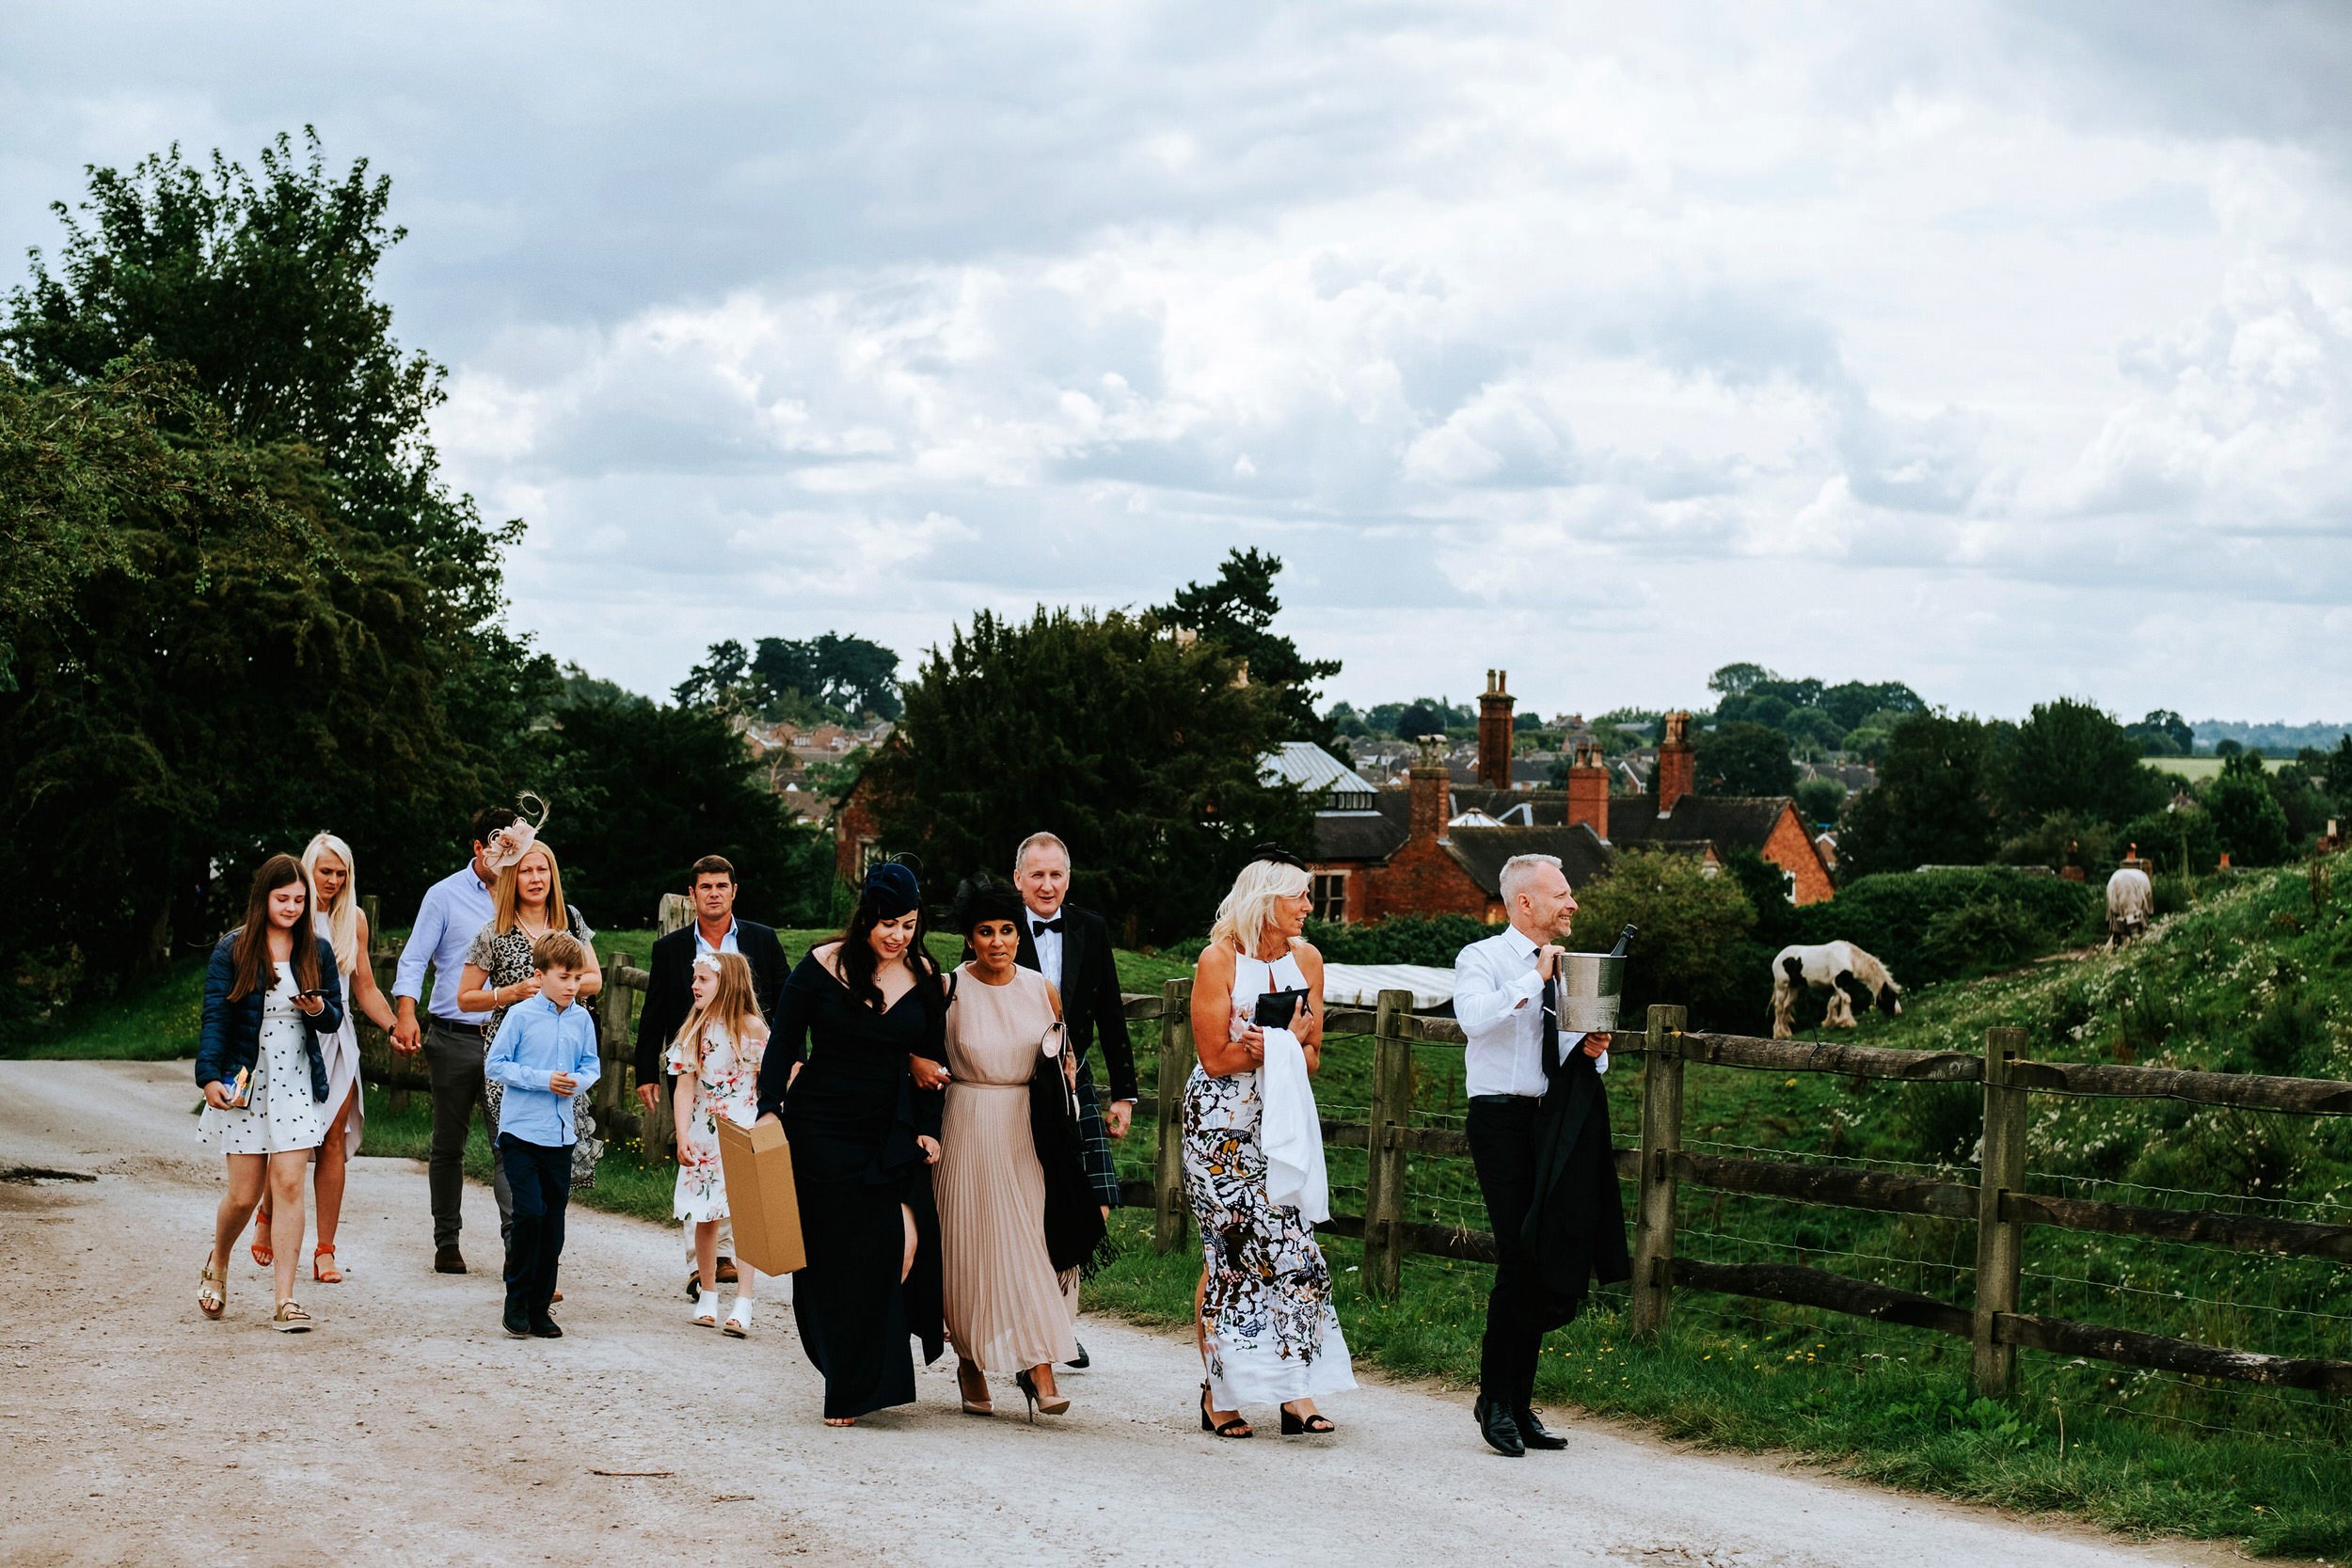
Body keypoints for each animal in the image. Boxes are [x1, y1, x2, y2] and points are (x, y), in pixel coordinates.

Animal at [1769, 944, 1900, 1043]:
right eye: (1890, 997)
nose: (1897, 1013)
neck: (1849, 958)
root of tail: (1778, 957)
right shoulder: (1837, 982)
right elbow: (1847, 999)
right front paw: (1848, 1023)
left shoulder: (1840, 985)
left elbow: (1834, 1002)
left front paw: (1832, 1022)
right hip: (1782, 986)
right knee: (1778, 1008)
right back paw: (1779, 1034)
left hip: (1794, 987)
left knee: (1786, 1006)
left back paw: (1787, 1033)